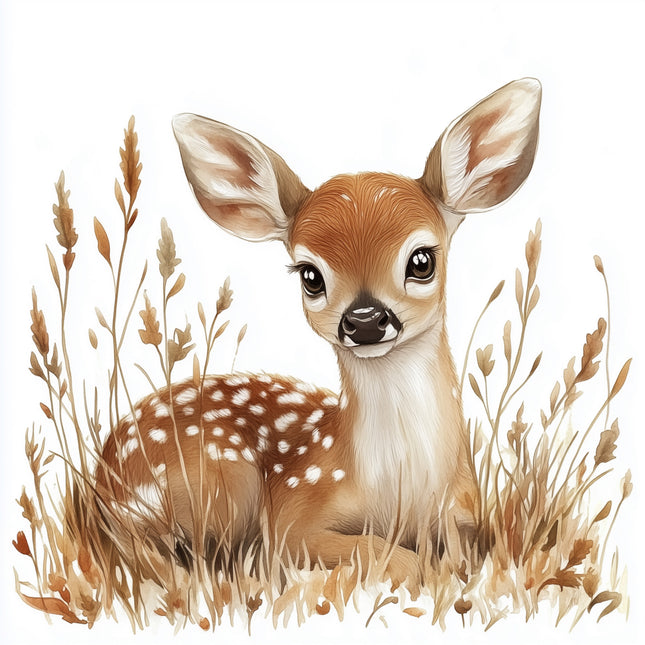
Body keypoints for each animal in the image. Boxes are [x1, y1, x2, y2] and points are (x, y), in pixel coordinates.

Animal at [95, 78, 541, 594]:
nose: (365, 320)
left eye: (422, 260)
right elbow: (394, 559)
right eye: (310, 275)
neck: (403, 493)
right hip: (223, 477)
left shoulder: (468, 517)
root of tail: (99, 476)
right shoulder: (292, 518)